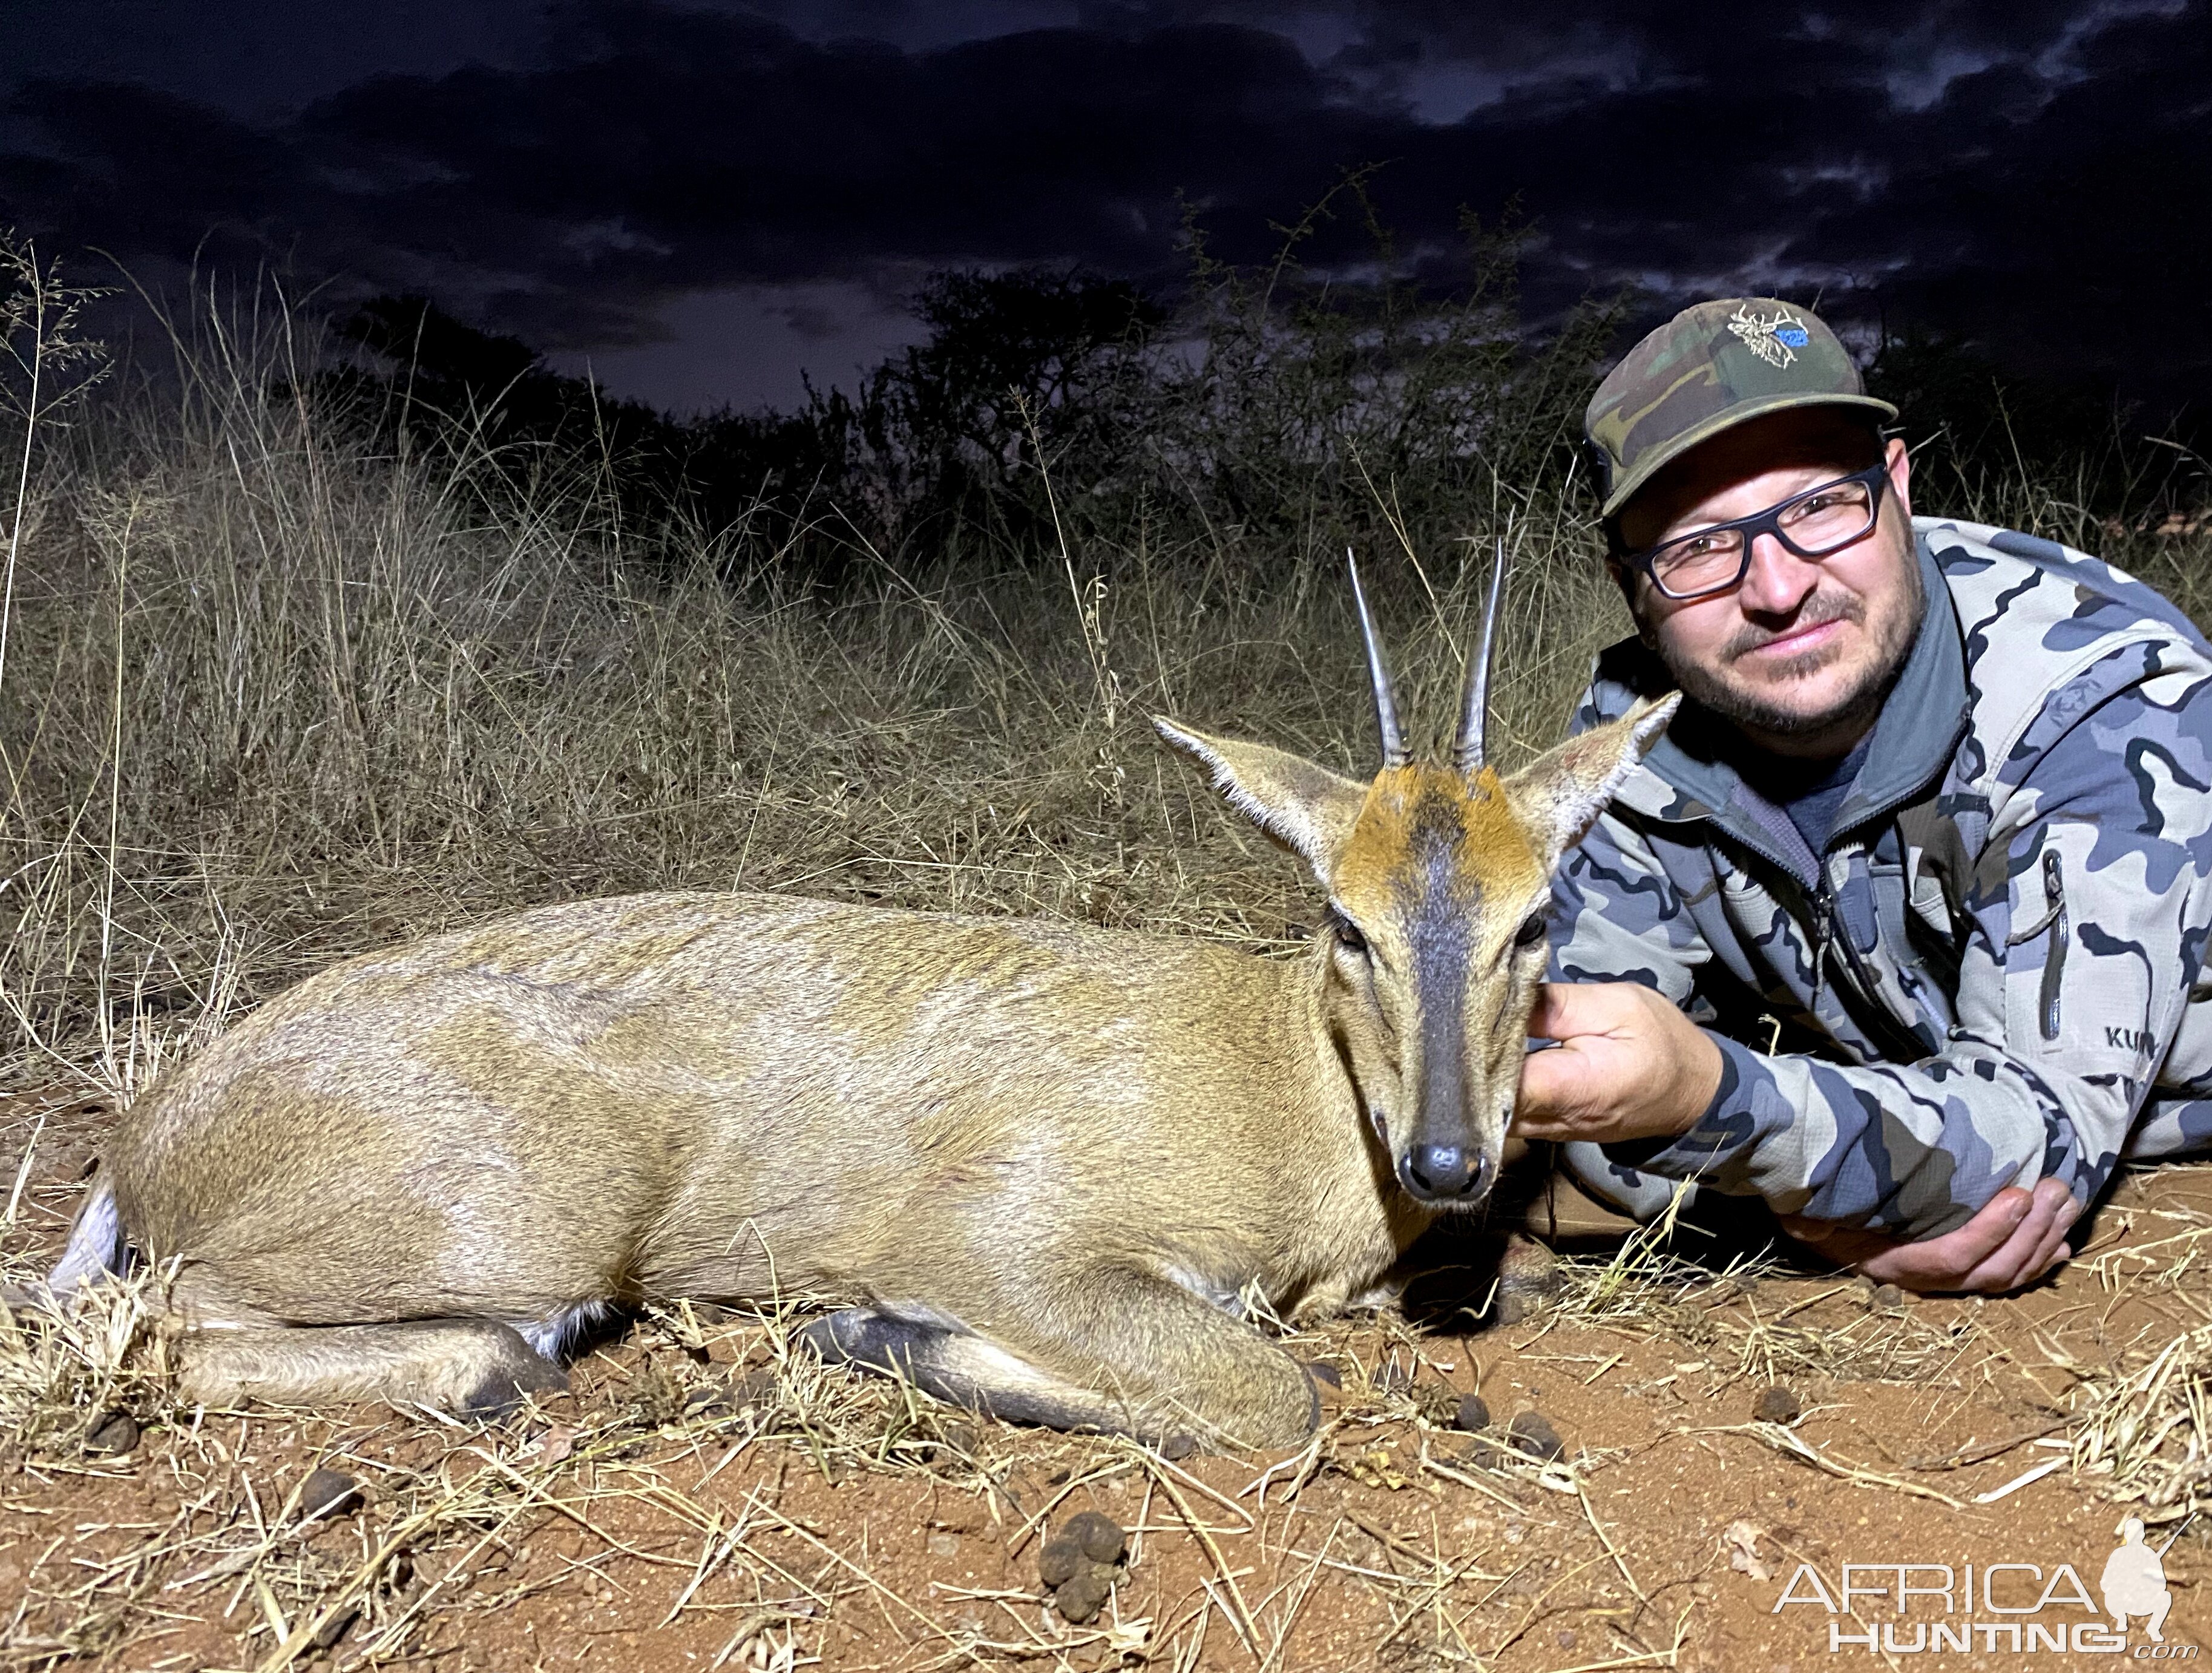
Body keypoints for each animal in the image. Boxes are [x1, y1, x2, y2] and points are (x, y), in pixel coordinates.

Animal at [39, 564, 1672, 1452]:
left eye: (1536, 919)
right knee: (174, 1328)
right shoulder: (997, 1238)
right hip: (520, 1237)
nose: (1450, 1159)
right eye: (1345, 919)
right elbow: (1279, 1394)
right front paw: (866, 1333)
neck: (1286, 1087)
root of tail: (151, 1134)